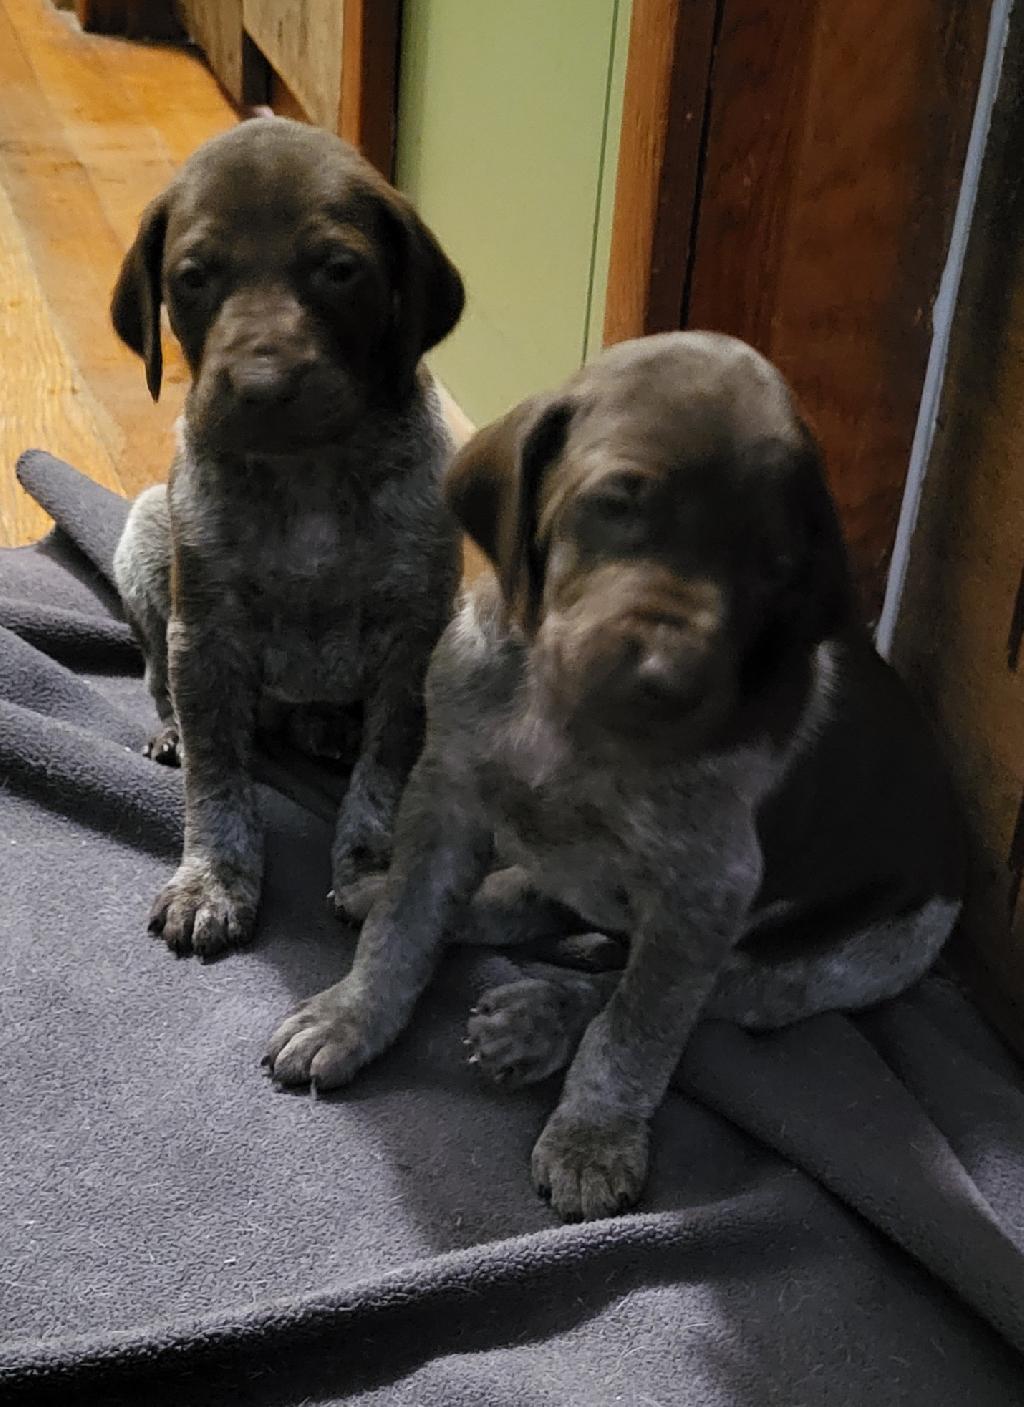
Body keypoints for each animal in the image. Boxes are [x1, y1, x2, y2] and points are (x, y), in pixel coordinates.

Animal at [113, 121, 464, 956]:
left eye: (339, 270)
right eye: (192, 277)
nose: (262, 387)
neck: (307, 473)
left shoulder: (415, 639)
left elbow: (386, 773)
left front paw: (371, 866)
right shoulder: (204, 638)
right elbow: (216, 780)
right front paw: (213, 878)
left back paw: (328, 726)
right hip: (144, 534)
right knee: (159, 679)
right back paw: (172, 730)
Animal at [260, 332, 962, 1221]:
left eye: (774, 566)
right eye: (616, 502)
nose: (668, 681)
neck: (568, 725)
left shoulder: (703, 894)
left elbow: (635, 1028)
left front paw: (594, 1135)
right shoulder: (445, 790)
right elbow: (406, 925)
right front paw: (352, 1012)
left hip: (824, 967)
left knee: (649, 986)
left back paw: (538, 1015)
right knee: (531, 901)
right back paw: (403, 898)